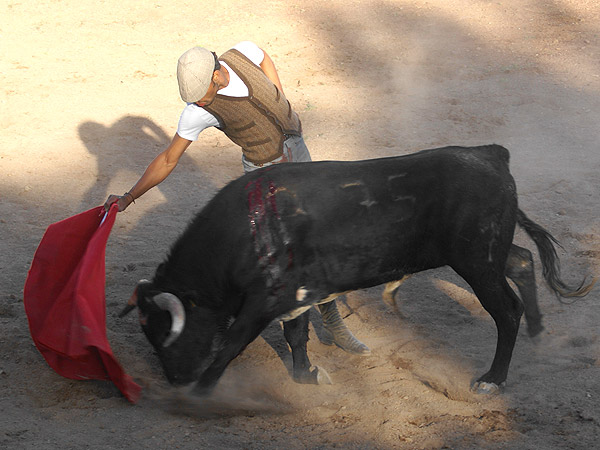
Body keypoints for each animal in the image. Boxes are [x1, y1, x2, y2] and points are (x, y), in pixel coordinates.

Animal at [119, 144, 592, 394]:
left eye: (167, 331)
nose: (176, 380)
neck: (245, 230)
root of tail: (490, 154)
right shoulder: (294, 294)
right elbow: (296, 334)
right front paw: (307, 376)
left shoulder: (263, 301)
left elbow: (231, 344)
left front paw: (203, 394)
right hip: (486, 256)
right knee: (523, 259)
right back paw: (537, 330)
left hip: (477, 263)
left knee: (506, 311)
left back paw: (493, 380)